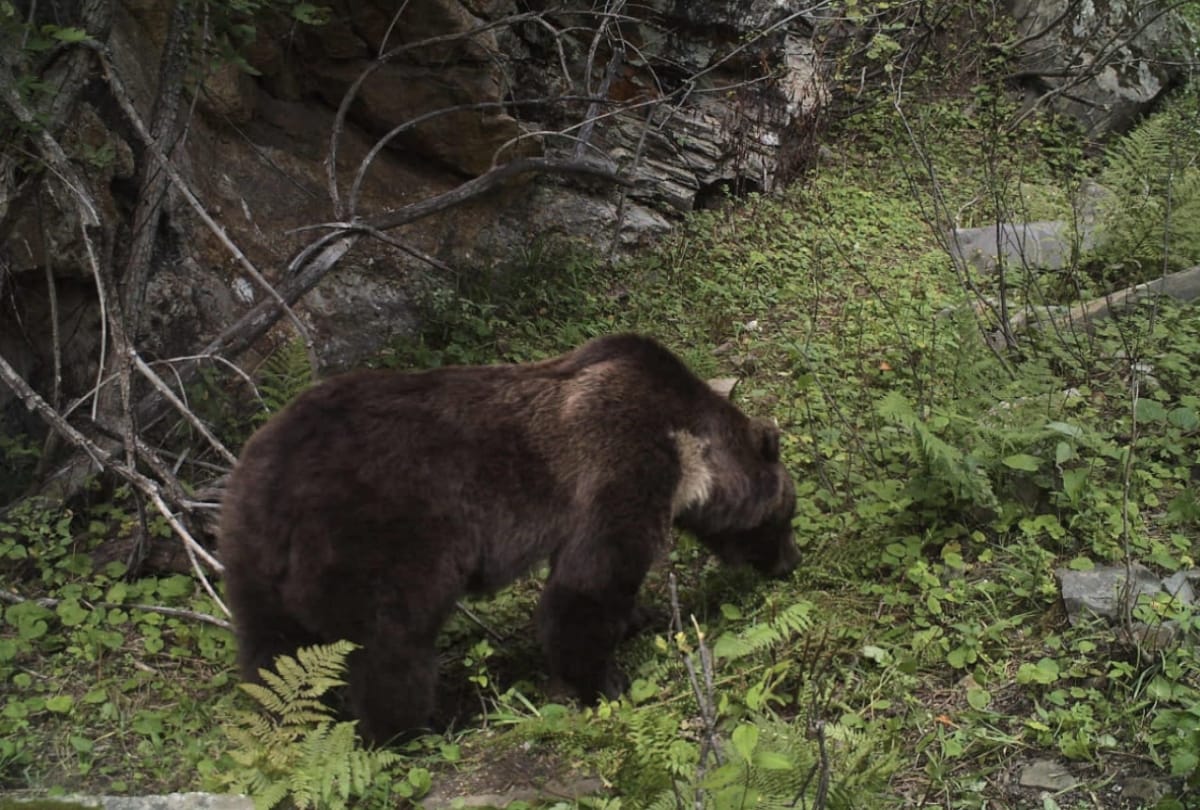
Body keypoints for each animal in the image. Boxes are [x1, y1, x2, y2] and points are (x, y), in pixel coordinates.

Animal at [218, 333, 799, 743]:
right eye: (786, 515)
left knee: (271, 653)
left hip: (250, 556)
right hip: (377, 541)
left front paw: (641, 618)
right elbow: (590, 581)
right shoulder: (623, 462)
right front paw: (604, 683)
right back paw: (411, 730)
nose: (791, 562)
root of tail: (273, 483)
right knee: (391, 645)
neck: (689, 451)